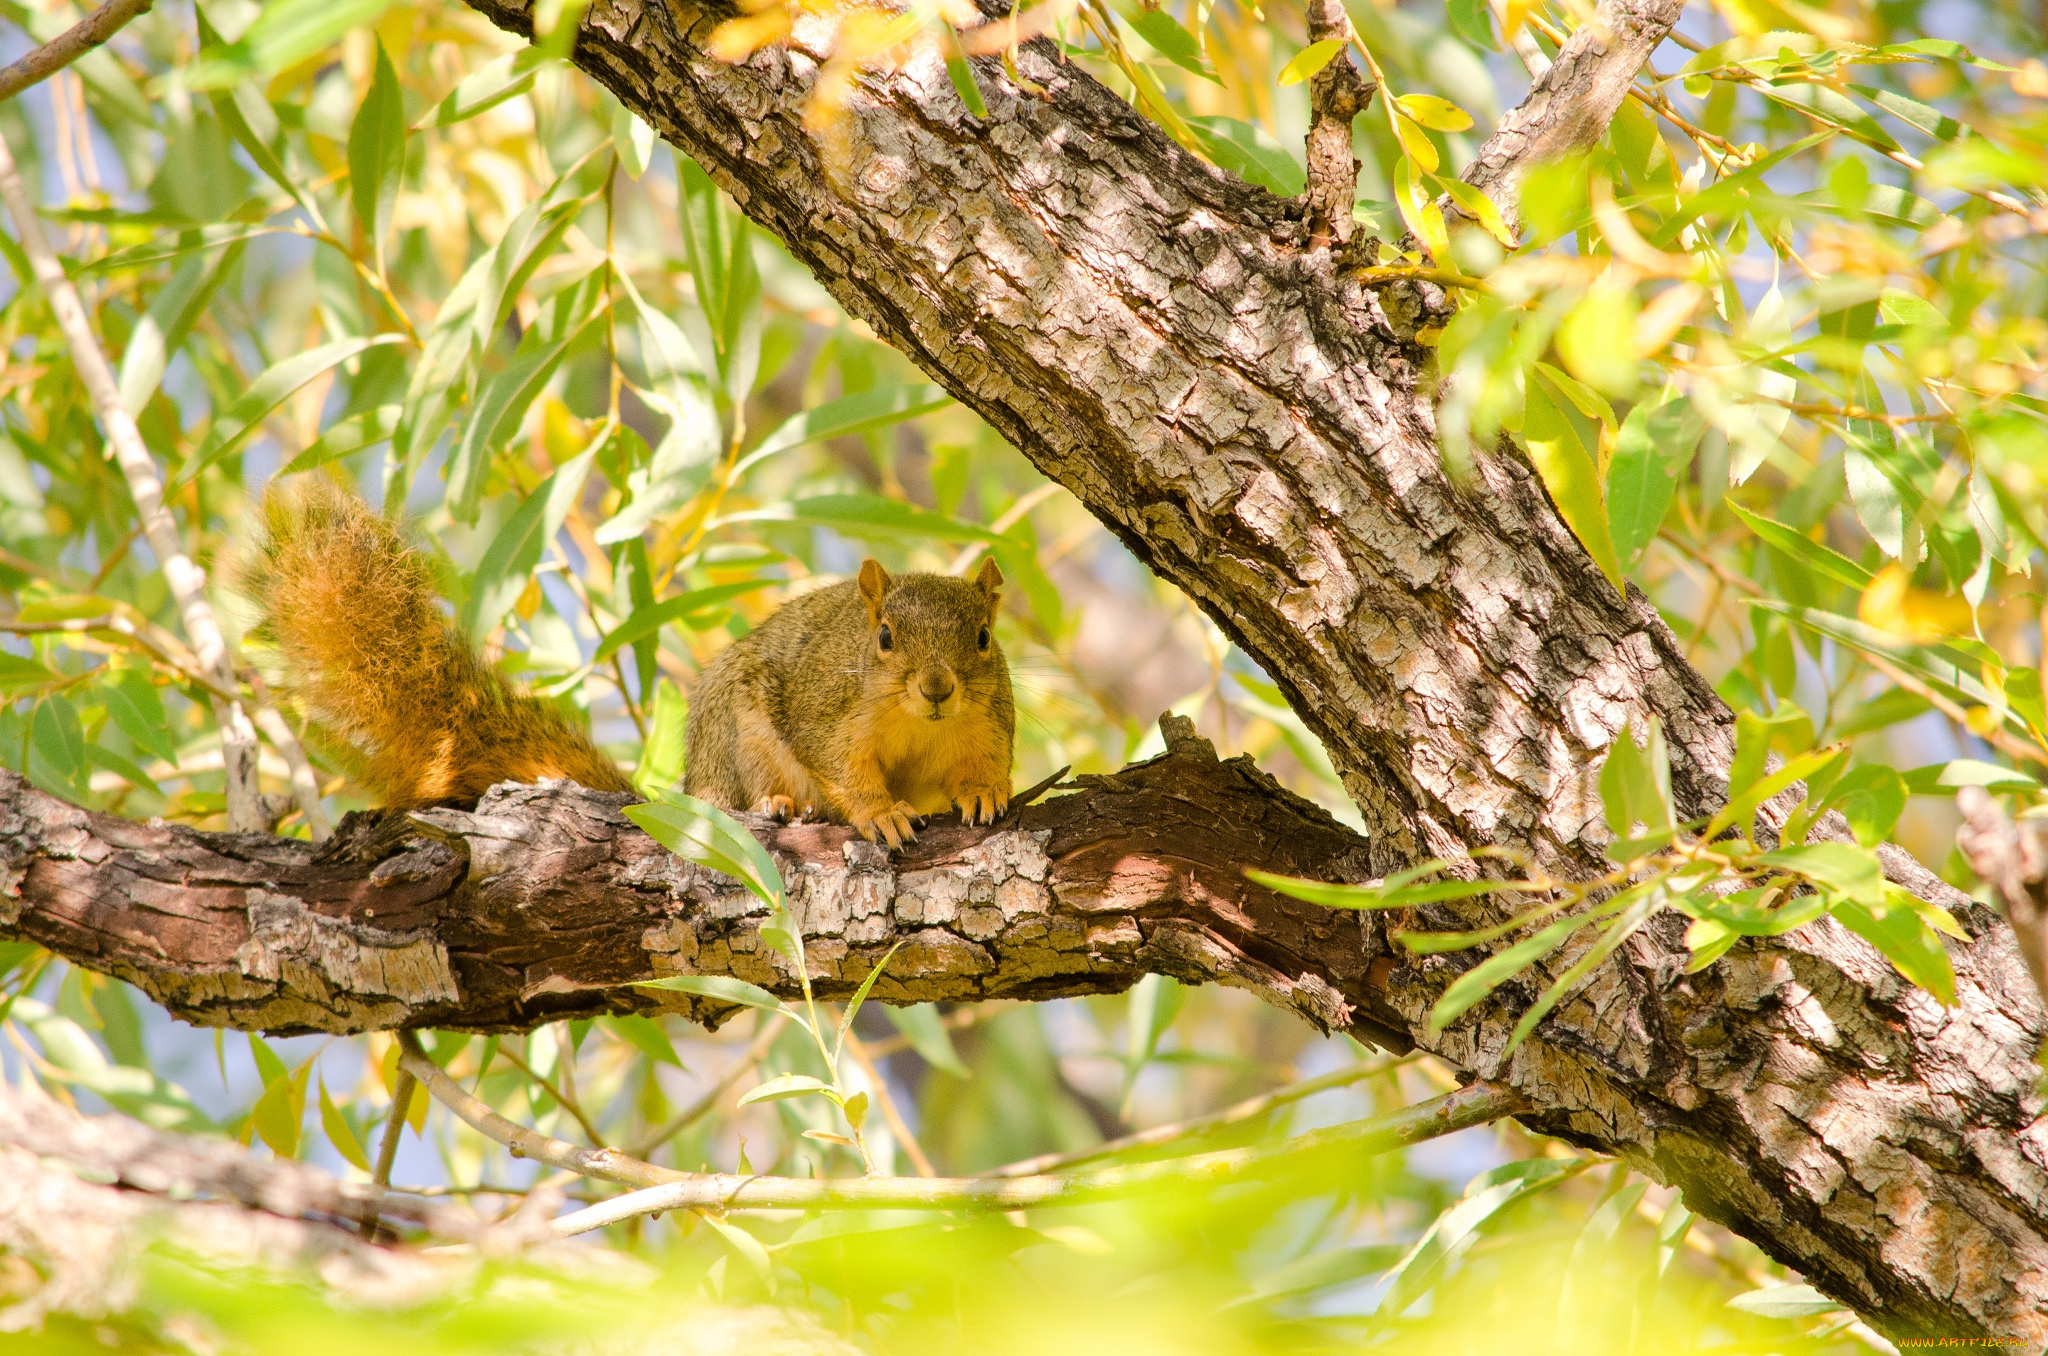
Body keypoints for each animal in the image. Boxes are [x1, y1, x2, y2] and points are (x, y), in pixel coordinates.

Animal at [684, 557, 1011, 843]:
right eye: (885, 637)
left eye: (984, 637)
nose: (936, 689)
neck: (917, 722)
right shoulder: (826, 716)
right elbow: (843, 769)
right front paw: (883, 814)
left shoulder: (990, 725)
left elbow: (986, 761)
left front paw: (982, 791)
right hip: (737, 735)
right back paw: (776, 801)